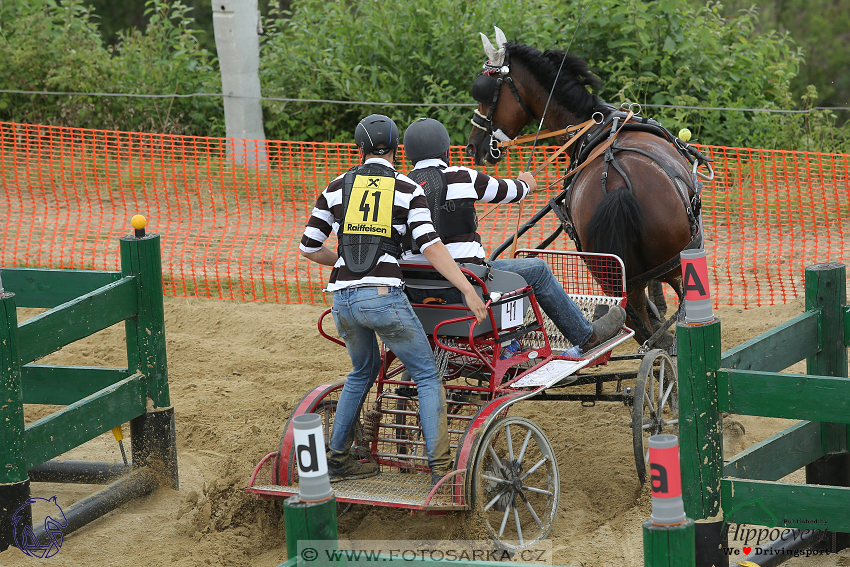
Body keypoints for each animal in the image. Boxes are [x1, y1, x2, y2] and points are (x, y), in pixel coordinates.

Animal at [464, 38, 704, 346]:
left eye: (486, 94)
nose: (474, 146)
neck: (592, 126)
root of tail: (617, 185)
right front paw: (661, 311)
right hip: (678, 259)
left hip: (609, 270)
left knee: (634, 314)